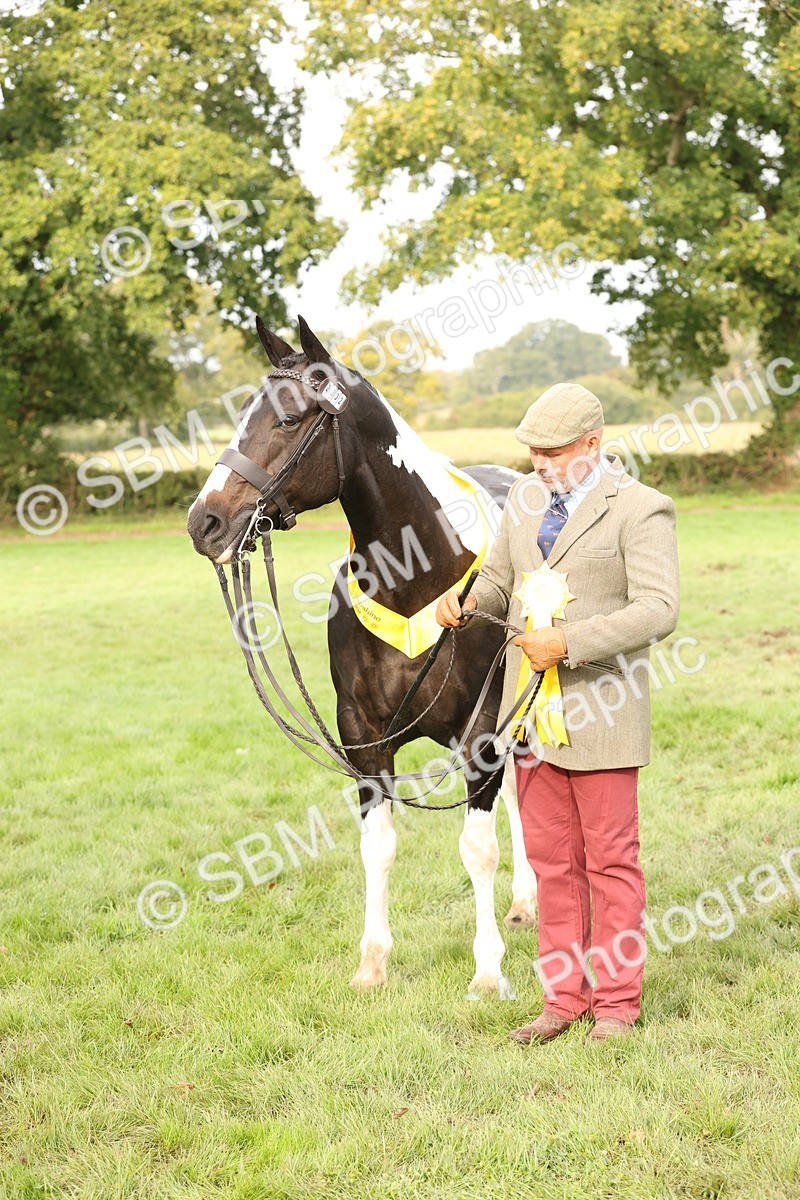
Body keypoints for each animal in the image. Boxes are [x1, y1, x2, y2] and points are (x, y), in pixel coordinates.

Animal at [187, 315, 538, 997]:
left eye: (289, 418)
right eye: (242, 414)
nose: (205, 522)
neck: (417, 575)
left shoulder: (482, 731)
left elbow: (477, 847)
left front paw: (488, 971)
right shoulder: (363, 735)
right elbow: (378, 847)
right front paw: (372, 963)